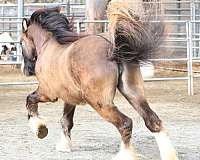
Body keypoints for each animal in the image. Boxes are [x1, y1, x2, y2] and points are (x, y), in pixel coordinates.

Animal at [20, 1, 178, 160]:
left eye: (21, 42)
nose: (26, 70)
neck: (48, 46)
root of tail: (113, 50)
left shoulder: (48, 93)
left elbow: (30, 99)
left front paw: (40, 129)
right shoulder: (70, 97)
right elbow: (66, 121)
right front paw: (64, 146)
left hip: (100, 102)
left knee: (125, 123)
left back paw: (125, 154)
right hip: (134, 93)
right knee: (153, 121)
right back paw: (169, 154)